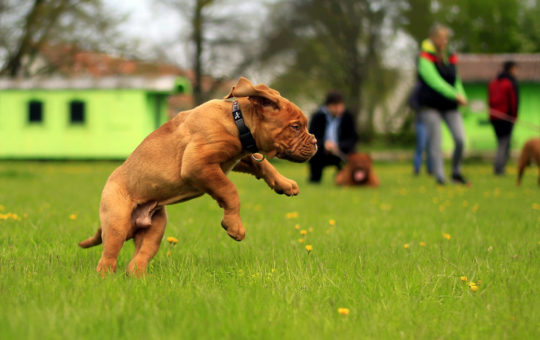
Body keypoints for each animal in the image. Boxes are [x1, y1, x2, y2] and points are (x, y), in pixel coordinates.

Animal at [78, 77, 318, 276]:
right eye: (295, 127)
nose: (316, 142)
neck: (237, 122)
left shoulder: (235, 158)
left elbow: (262, 164)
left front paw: (285, 184)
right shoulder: (198, 164)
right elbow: (230, 190)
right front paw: (234, 225)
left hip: (155, 229)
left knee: (138, 259)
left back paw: (139, 278)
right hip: (117, 224)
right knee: (107, 259)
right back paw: (107, 279)